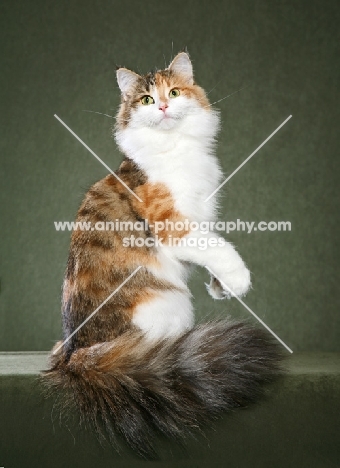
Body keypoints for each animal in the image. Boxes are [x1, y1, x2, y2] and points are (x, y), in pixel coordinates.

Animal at [44, 51, 284, 458]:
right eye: (146, 99)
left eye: (173, 92)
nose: (164, 106)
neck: (177, 149)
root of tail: (76, 357)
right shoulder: (172, 226)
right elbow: (219, 248)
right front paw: (237, 279)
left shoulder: (200, 217)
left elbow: (212, 245)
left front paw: (220, 287)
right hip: (169, 303)